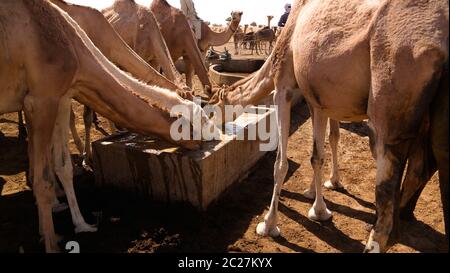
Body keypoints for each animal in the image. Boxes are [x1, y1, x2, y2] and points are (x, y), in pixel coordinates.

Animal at [0, 0, 218, 251]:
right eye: (201, 121)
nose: (213, 136)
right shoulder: (42, 99)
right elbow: (45, 173)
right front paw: (52, 237)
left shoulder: (63, 93)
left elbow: (61, 165)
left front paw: (78, 223)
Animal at [209, 0, 448, 253]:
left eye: (211, 107)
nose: (215, 128)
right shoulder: (319, 101)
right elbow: (319, 153)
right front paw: (319, 204)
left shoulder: (283, 86)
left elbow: (281, 163)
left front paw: (269, 224)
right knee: (422, 168)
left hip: (392, 90)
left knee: (386, 193)